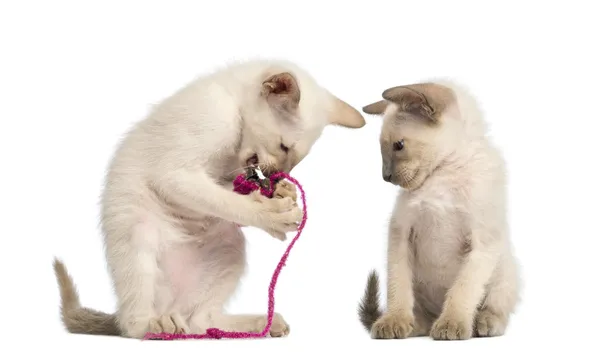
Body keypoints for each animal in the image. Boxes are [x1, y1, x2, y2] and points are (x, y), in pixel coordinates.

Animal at [54, 59, 366, 338]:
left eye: (296, 160)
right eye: (283, 146)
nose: (281, 175)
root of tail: (170, 306)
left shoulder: (225, 178)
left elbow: (228, 196)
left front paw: (281, 192)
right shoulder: (178, 173)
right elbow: (230, 203)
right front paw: (273, 214)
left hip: (231, 246)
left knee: (200, 322)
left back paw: (262, 325)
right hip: (138, 234)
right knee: (131, 322)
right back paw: (157, 326)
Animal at [356, 79, 520, 340]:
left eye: (398, 146)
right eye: (382, 149)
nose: (386, 176)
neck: (443, 174)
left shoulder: (482, 243)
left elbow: (463, 289)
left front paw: (452, 324)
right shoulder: (400, 233)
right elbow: (397, 286)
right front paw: (394, 320)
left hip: (505, 268)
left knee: (496, 305)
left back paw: (482, 323)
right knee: (418, 314)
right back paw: (412, 324)